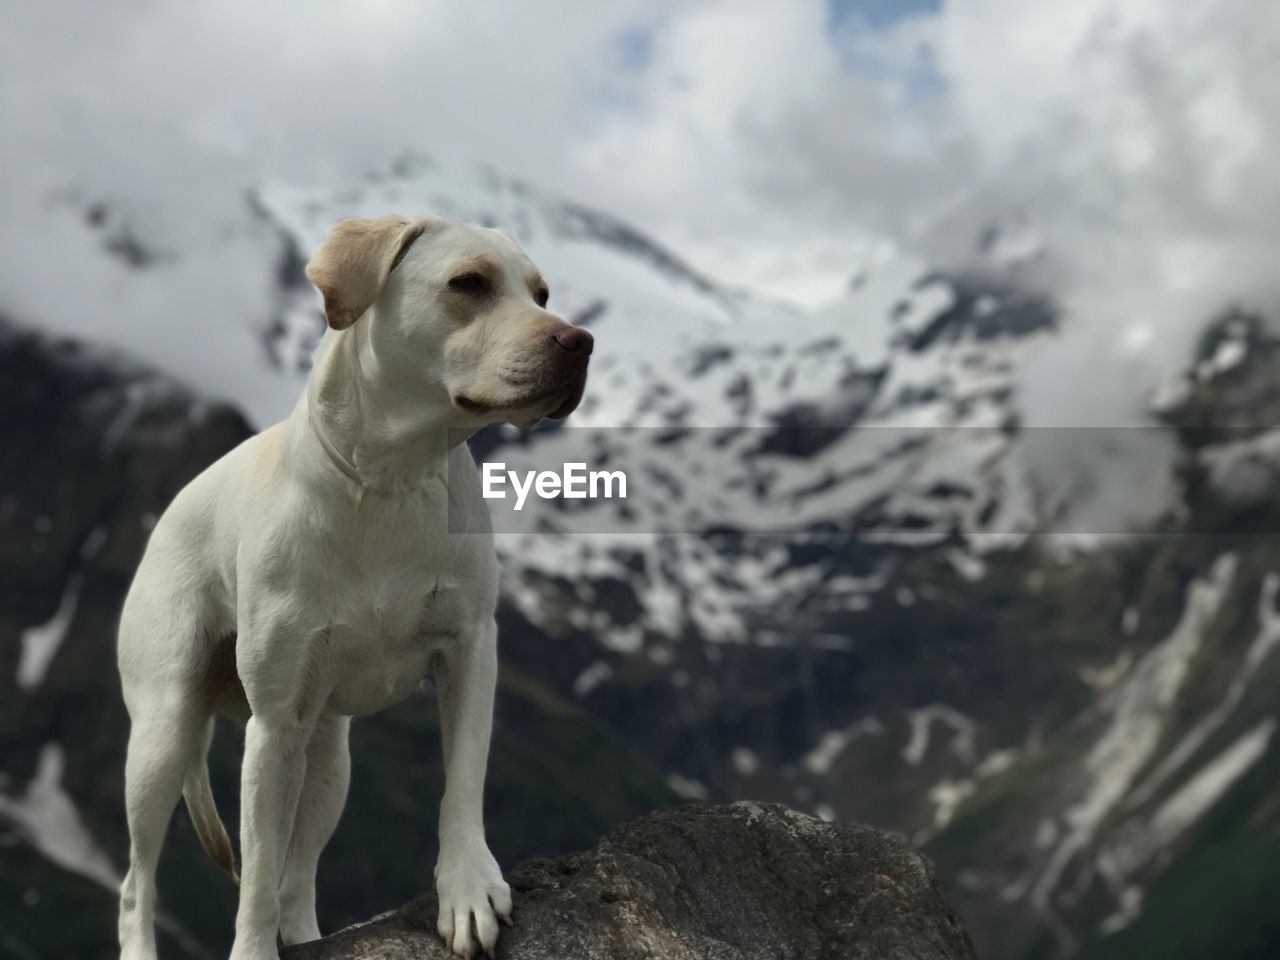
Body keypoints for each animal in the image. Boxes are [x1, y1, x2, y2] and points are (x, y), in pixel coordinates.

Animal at [116, 217, 593, 960]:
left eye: (541, 293)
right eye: (469, 283)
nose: (579, 340)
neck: (390, 479)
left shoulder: (469, 654)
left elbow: (462, 784)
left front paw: (467, 889)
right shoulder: (274, 726)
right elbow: (256, 874)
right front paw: (252, 950)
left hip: (329, 758)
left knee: (299, 873)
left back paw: (309, 932)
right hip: (165, 733)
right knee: (139, 883)